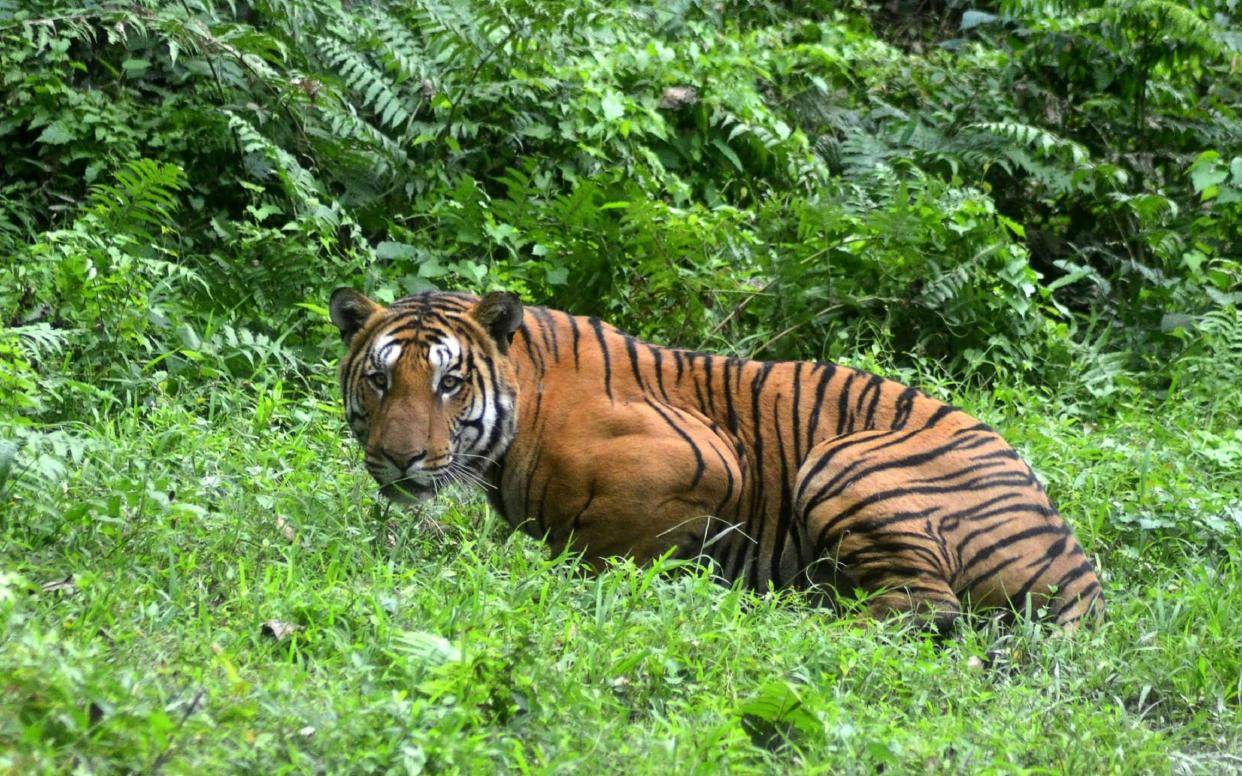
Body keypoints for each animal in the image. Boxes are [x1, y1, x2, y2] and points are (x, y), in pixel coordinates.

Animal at [330, 284, 1107, 630]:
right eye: (380, 379)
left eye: (449, 382)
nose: (400, 459)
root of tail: (1080, 574)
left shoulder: (705, 459)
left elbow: (606, 549)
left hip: (843, 462)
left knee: (925, 609)